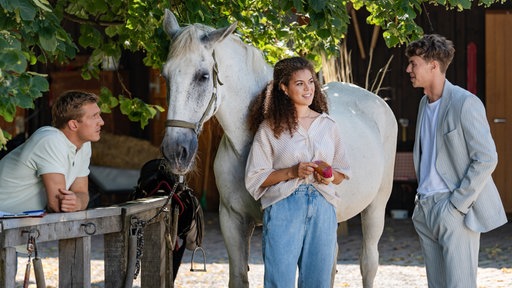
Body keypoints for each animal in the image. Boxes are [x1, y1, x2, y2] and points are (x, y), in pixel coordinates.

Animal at [162, 9, 398, 288]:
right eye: (166, 76)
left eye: (203, 76)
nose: (175, 151)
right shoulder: (233, 221)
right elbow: (239, 277)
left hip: (376, 207)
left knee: (368, 263)